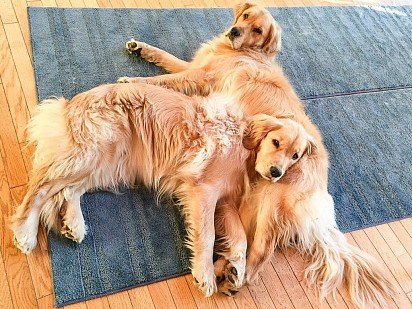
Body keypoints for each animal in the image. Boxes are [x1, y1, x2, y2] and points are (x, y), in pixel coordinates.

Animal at [9, 82, 312, 296]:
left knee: (70, 190)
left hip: (110, 163)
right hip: (93, 152)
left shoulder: (224, 200)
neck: (245, 146)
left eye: (295, 156)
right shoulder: (203, 190)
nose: (276, 173)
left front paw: (235, 267)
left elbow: (239, 237)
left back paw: (74, 224)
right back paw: (25, 233)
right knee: (40, 187)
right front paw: (205, 273)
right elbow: (208, 236)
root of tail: (68, 104)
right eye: (275, 142)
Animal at [117, 1, 394, 306]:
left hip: (272, 204)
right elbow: (167, 59)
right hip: (244, 202)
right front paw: (141, 48)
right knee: (240, 240)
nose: (235, 31)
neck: (246, 52)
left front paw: (131, 80)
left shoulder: (200, 75)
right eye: (246, 16)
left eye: (259, 30)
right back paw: (225, 269)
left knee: (260, 254)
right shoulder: (198, 66)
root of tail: (322, 186)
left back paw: (232, 276)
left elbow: (164, 79)